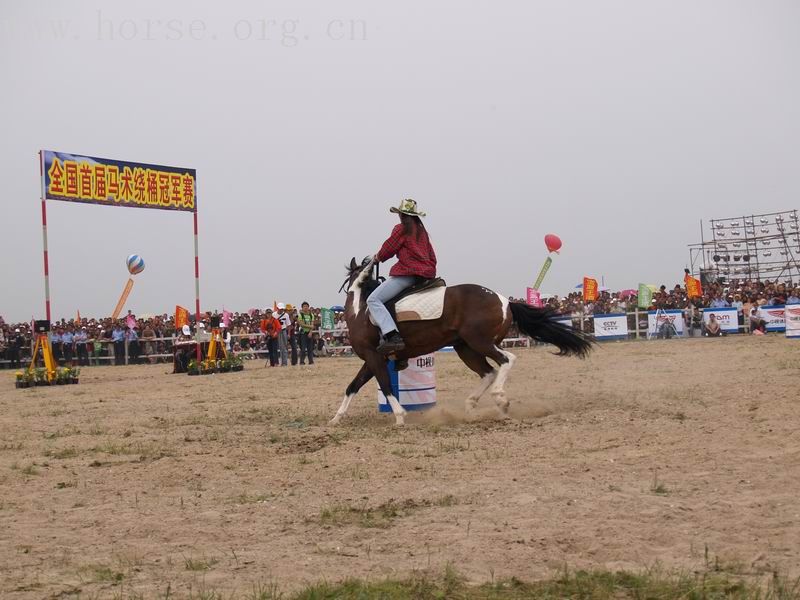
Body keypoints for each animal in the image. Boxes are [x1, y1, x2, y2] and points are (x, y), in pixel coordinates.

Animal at [332, 258, 592, 426]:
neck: (362, 311)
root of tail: (505, 301)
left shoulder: (374, 357)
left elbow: (386, 386)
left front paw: (399, 416)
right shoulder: (371, 359)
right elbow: (352, 386)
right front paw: (336, 418)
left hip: (479, 342)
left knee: (506, 360)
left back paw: (500, 398)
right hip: (466, 348)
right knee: (488, 372)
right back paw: (471, 405)